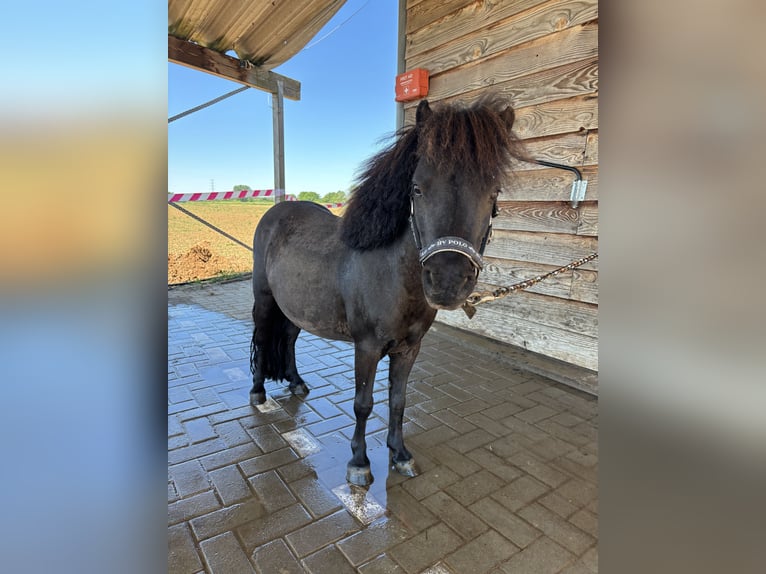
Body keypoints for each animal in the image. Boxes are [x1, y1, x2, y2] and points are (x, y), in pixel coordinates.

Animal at [250, 96, 527, 486]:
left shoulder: (409, 349)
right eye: (417, 189)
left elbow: (398, 400)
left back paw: (297, 383)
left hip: (297, 307)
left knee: (288, 337)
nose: (447, 282)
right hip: (264, 300)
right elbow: (363, 403)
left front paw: (400, 454)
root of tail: (276, 212)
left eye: (494, 193)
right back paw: (259, 393)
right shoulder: (366, 347)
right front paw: (359, 463)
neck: (392, 274)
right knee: (262, 339)